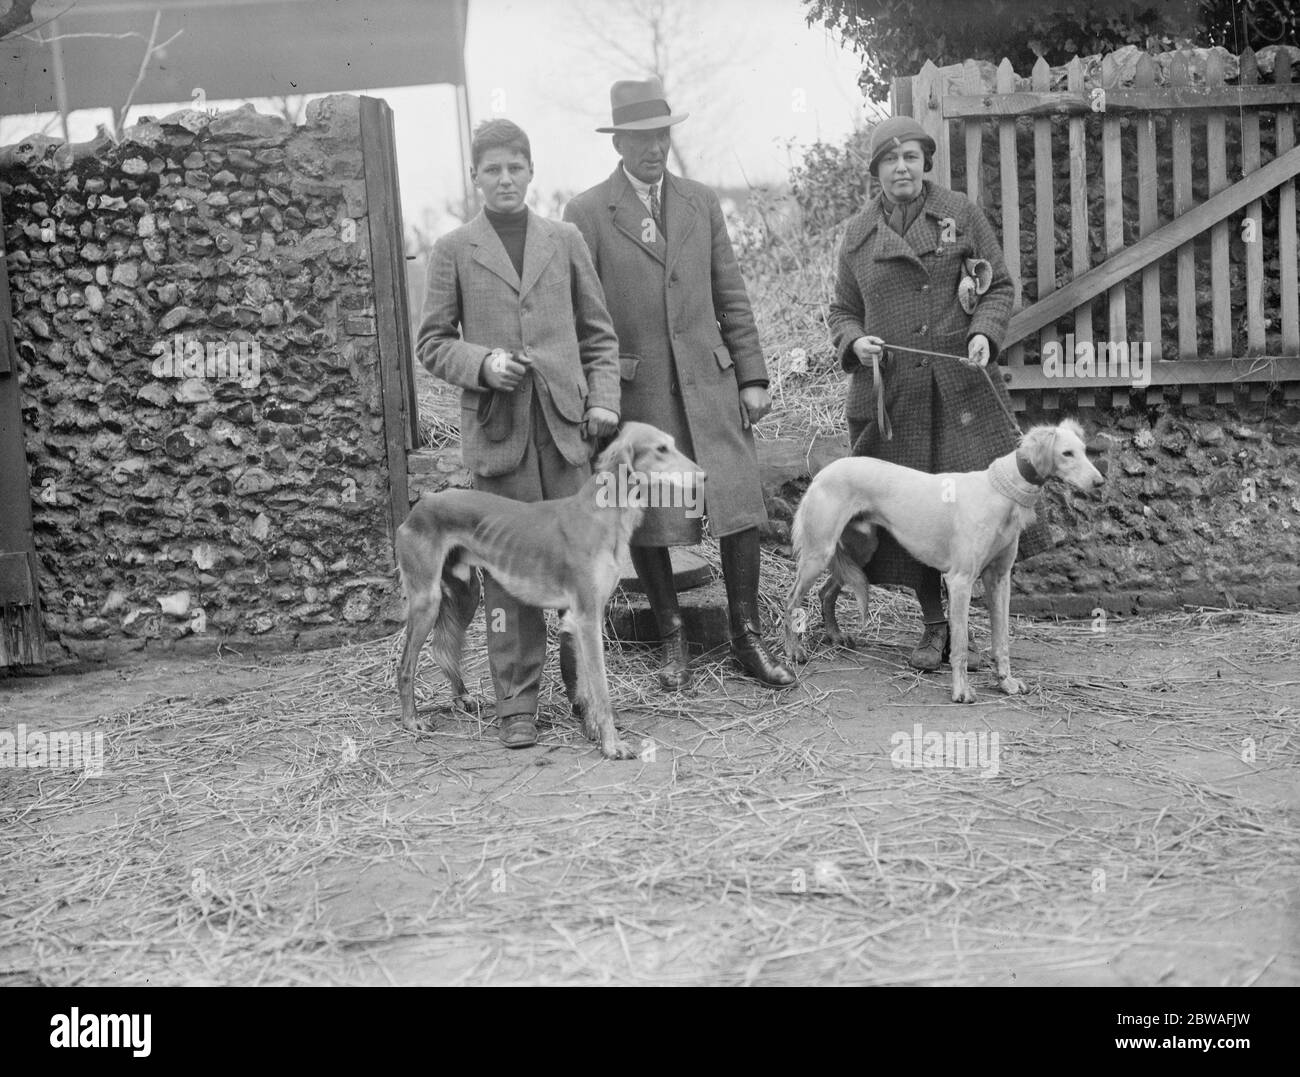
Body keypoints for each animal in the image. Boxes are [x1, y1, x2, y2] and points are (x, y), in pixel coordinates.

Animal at [395, 421, 702, 759]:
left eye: (672, 444)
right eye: (660, 449)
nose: (703, 476)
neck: (601, 515)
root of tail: (420, 506)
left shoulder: (581, 618)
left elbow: (585, 685)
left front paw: (592, 730)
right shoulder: (587, 618)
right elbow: (601, 689)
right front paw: (612, 745)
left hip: (465, 595)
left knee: (443, 649)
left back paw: (461, 696)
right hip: (427, 600)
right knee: (406, 666)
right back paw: (411, 721)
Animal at [785, 421, 1102, 707]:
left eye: (1085, 450)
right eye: (1067, 453)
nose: (1099, 483)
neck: (1000, 491)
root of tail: (823, 472)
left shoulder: (999, 579)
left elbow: (1002, 640)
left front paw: (1006, 682)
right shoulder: (960, 580)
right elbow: (959, 646)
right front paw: (961, 692)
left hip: (859, 549)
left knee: (825, 592)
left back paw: (836, 635)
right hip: (820, 552)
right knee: (792, 600)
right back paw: (794, 652)